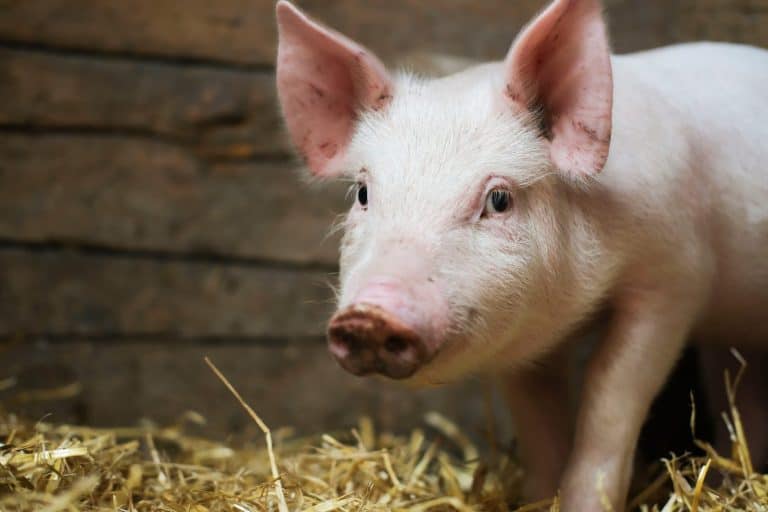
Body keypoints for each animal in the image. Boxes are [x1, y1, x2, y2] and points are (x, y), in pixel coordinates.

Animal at [274, 0, 768, 510]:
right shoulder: (520, 345)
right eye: (363, 194)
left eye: (499, 199)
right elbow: (539, 422)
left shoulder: (676, 275)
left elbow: (609, 394)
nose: (369, 315)